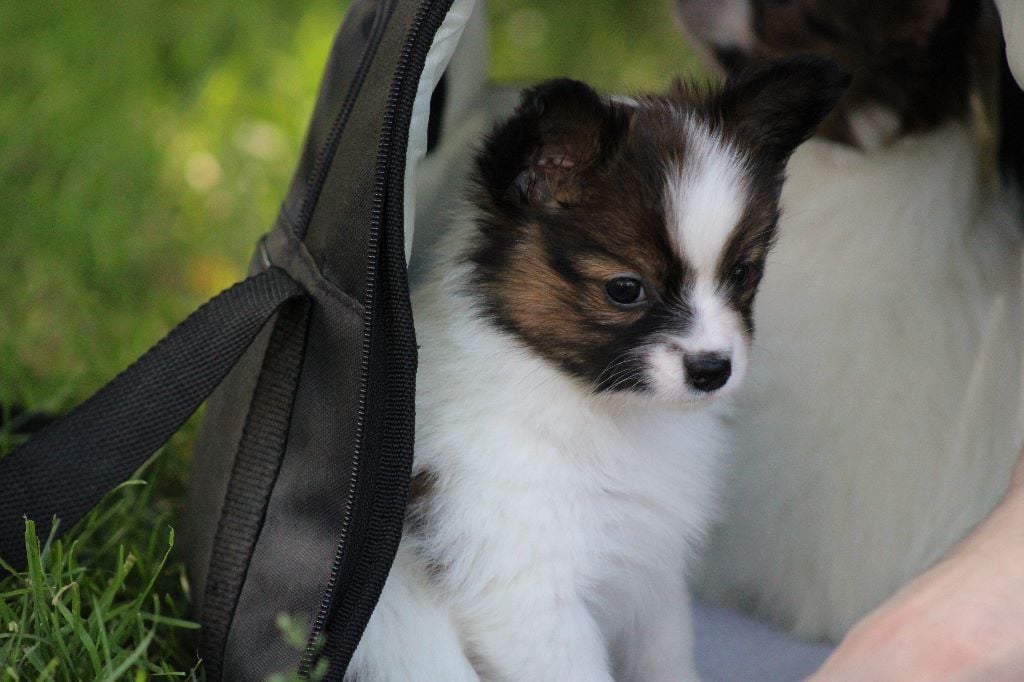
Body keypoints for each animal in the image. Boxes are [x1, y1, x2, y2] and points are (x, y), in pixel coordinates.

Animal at [346, 58, 847, 679]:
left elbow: (666, 660)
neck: (595, 404)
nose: (712, 369)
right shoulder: (529, 596)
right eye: (625, 289)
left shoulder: (651, 578)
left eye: (741, 273)